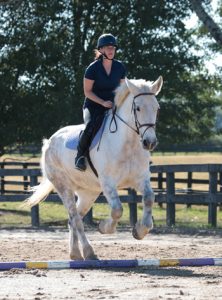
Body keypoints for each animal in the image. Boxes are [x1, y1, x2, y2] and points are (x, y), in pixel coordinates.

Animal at [24, 77, 163, 260]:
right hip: (64, 187)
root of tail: (49, 141)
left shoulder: (141, 179)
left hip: (88, 193)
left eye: (157, 108)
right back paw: (88, 252)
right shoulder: (108, 183)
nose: (150, 143)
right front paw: (104, 227)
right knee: (75, 218)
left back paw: (75, 253)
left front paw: (139, 231)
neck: (128, 143)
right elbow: (117, 210)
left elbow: (148, 198)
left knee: (74, 219)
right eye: (138, 108)